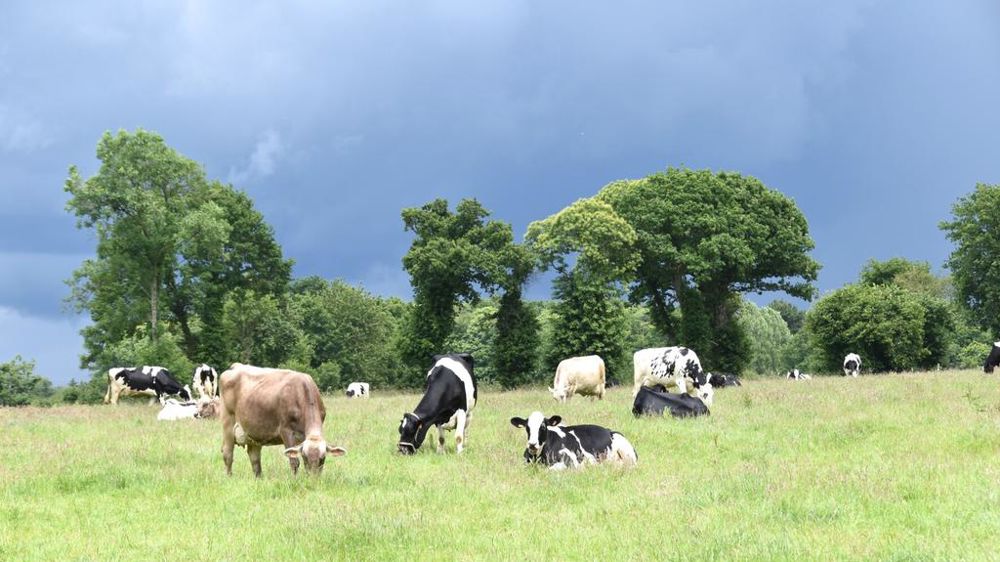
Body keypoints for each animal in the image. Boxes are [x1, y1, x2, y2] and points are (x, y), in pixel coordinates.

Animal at [509, 412, 638, 470]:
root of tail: (608, 430)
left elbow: (549, 470)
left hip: (628, 454)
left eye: (543, 427)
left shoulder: (570, 462)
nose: (532, 444)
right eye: (527, 428)